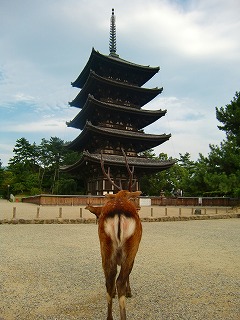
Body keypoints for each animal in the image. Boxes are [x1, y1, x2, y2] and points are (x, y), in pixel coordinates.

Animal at [97, 150, 142, 320]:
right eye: (133, 198)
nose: (138, 207)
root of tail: (118, 212)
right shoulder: (133, 252)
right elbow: (129, 272)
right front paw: (130, 292)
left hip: (104, 246)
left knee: (109, 280)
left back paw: (109, 316)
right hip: (130, 246)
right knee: (120, 280)